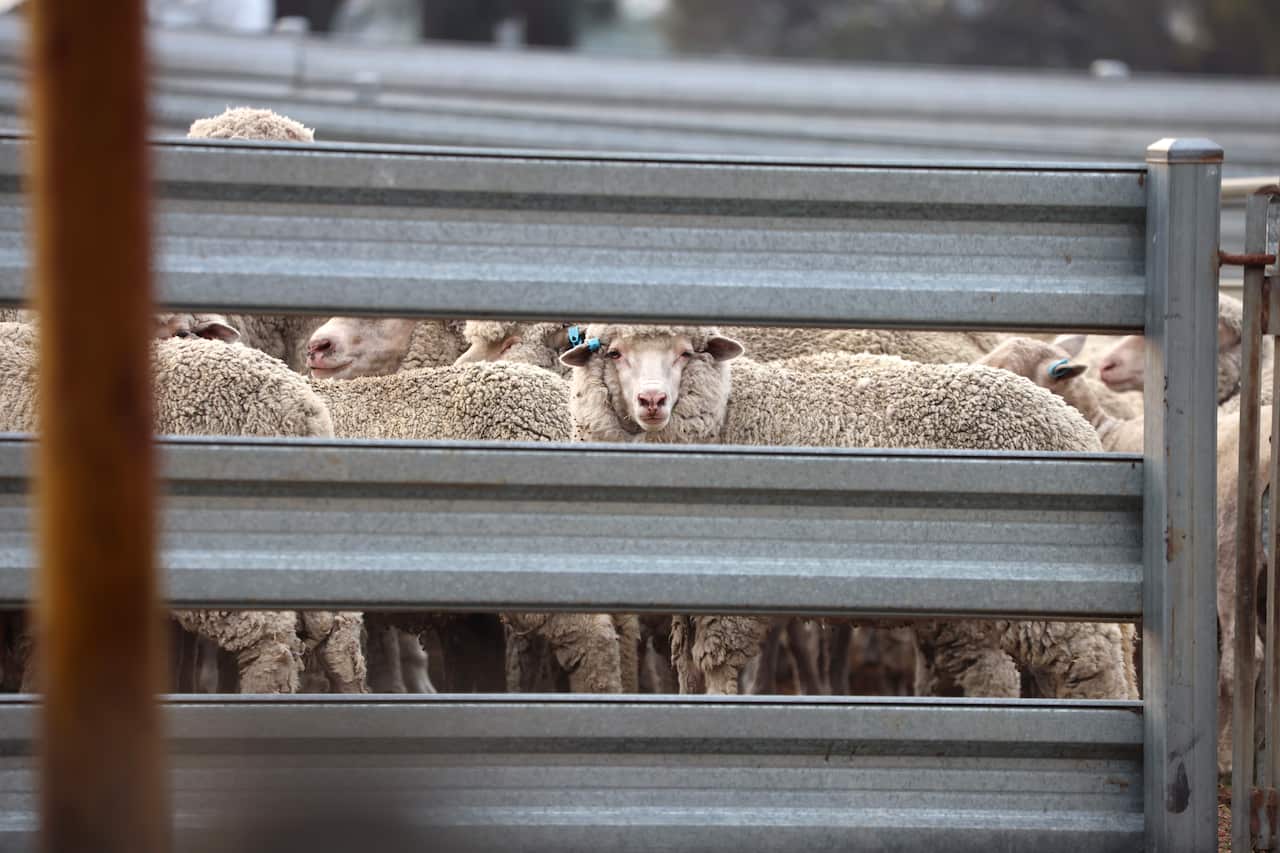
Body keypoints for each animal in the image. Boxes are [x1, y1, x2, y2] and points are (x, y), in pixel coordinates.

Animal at [562, 324, 1137, 700]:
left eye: (685, 354)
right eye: (614, 353)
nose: (652, 401)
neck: (730, 410)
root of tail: (1073, 424)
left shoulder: (732, 607)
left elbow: (721, 676)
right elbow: (687, 676)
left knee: (1093, 673)